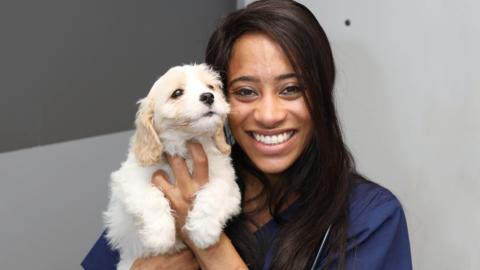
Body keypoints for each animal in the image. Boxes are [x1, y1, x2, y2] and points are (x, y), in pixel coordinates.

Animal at [103, 63, 242, 270]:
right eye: (177, 93)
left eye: (210, 87)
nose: (208, 96)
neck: (186, 148)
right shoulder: (129, 180)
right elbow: (151, 198)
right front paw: (160, 236)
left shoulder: (227, 181)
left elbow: (214, 193)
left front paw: (204, 230)